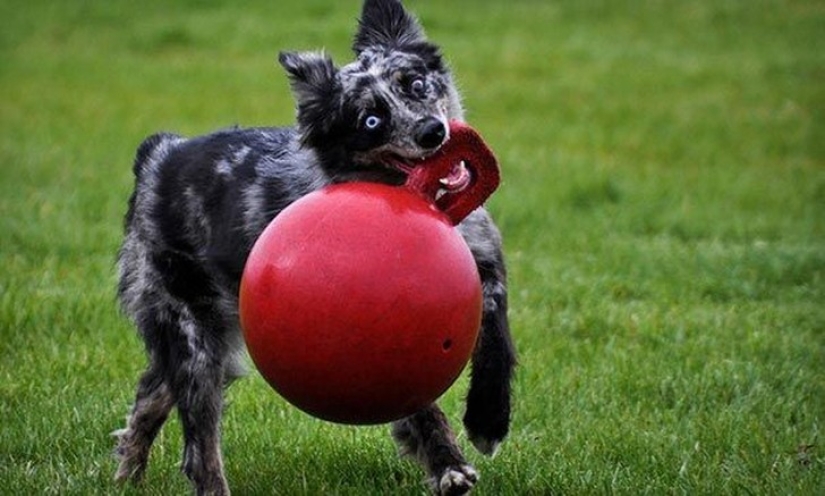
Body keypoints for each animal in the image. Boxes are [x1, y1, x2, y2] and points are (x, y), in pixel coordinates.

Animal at [114, 1, 516, 494]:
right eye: (370, 120)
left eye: (416, 85)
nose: (431, 132)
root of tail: (158, 155)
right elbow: (416, 401)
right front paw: (447, 463)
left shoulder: (485, 267)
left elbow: (497, 341)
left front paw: (489, 418)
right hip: (196, 338)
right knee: (198, 445)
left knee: (151, 392)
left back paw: (127, 474)